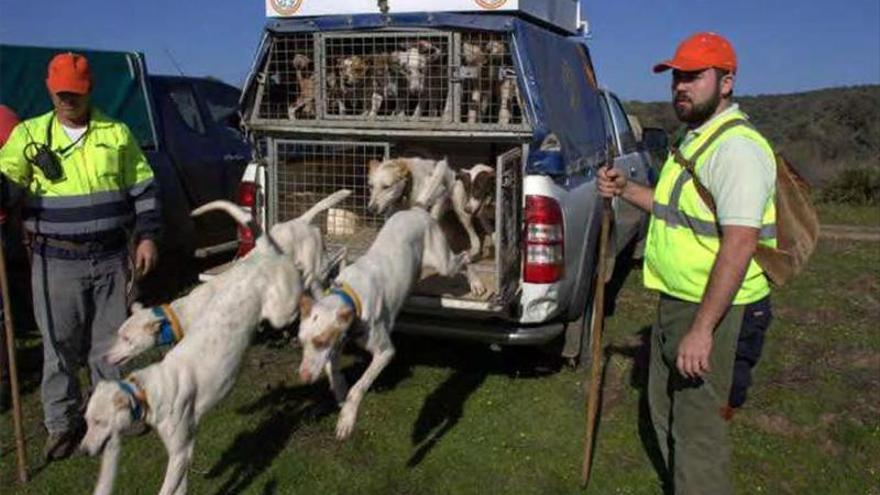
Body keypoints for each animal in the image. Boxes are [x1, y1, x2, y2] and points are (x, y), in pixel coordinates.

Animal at [300, 168, 484, 442]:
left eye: (320, 341)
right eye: (302, 342)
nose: (302, 377)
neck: (351, 294)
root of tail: (416, 209)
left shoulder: (385, 352)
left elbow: (358, 387)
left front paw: (347, 418)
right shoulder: (337, 345)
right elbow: (335, 374)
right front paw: (340, 397)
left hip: (444, 263)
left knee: (464, 259)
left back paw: (477, 283)